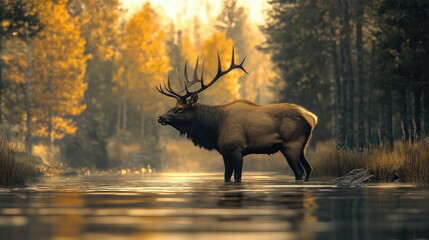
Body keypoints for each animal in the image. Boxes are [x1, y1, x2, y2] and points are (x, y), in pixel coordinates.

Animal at [155, 49, 316, 184]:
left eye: (180, 108)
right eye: (173, 106)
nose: (160, 117)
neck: (215, 128)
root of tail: (312, 118)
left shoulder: (237, 148)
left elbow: (237, 176)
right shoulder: (224, 153)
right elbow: (226, 177)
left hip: (291, 145)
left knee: (299, 171)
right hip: (302, 147)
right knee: (308, 169)